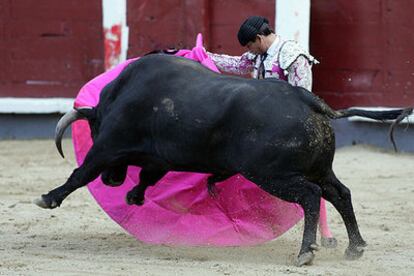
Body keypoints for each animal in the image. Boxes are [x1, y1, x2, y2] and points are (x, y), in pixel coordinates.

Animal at [33, 54, 414, 266]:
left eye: (94, 128)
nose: (112, 180)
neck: (120, 95)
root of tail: (313, 103)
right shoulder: (161, 157)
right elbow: (148, 176)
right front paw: (134, 196)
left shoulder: (109, 145)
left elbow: (81, 172)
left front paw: (48, 198)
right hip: (320, 168)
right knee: (339, 193)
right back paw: (355, 247)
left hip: (272, 175)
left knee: (310, 196)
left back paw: (306, 252)